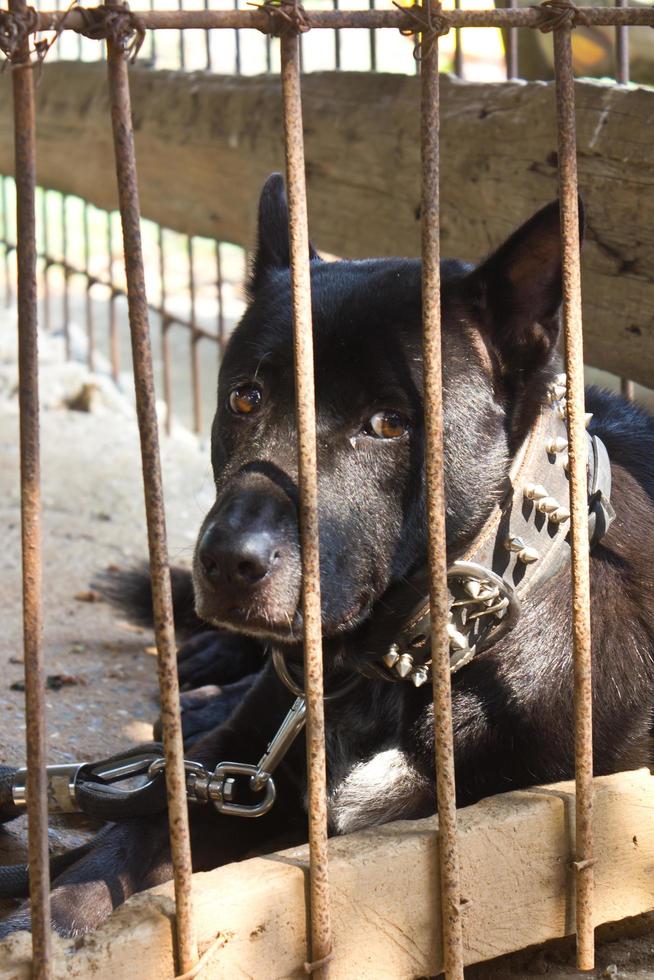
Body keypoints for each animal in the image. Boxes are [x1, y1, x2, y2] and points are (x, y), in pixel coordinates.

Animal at [1, 174, 654, 936]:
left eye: (390, 423)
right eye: (245, 397)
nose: (227, 563)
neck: (400, 661)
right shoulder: (233, 775)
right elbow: (125, 841)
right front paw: (48, 920)